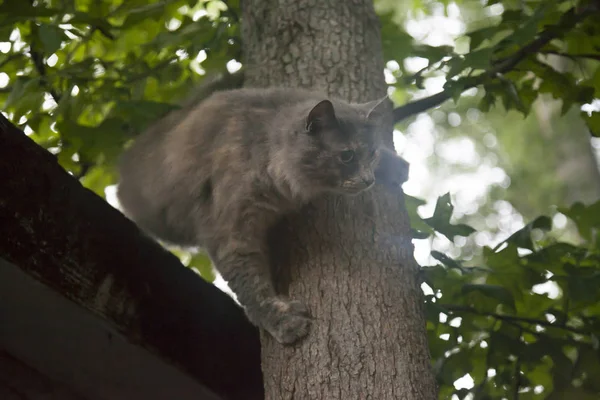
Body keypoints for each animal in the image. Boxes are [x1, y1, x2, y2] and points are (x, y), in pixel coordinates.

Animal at [116, 87, 408, 344]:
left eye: (372, 153)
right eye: (347, 156)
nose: (368, 180)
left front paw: (395, 166)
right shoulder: (232, 232)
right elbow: (252, 287)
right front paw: (284, 323)